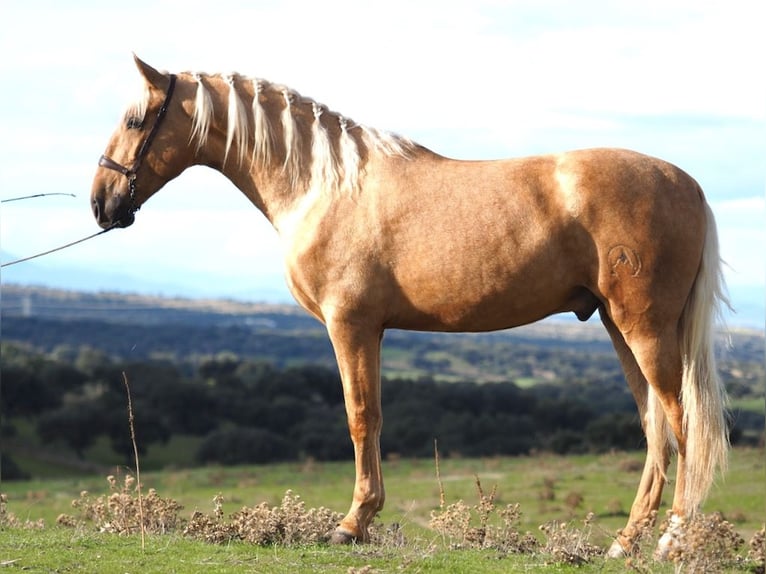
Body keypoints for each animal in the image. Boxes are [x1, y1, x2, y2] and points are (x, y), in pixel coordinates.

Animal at [93, 57, 728, 560]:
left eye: (134, 121)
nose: (103, 203)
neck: (324, 184)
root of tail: (690, 185)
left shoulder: (350, 325)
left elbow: (360, 417)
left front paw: (352, 525)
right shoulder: (370, 330)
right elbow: (371, 417)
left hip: (644, 329)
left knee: (682, 423)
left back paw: (671, 540)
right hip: (620, 328)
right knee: (655, 431)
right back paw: (626, 542)